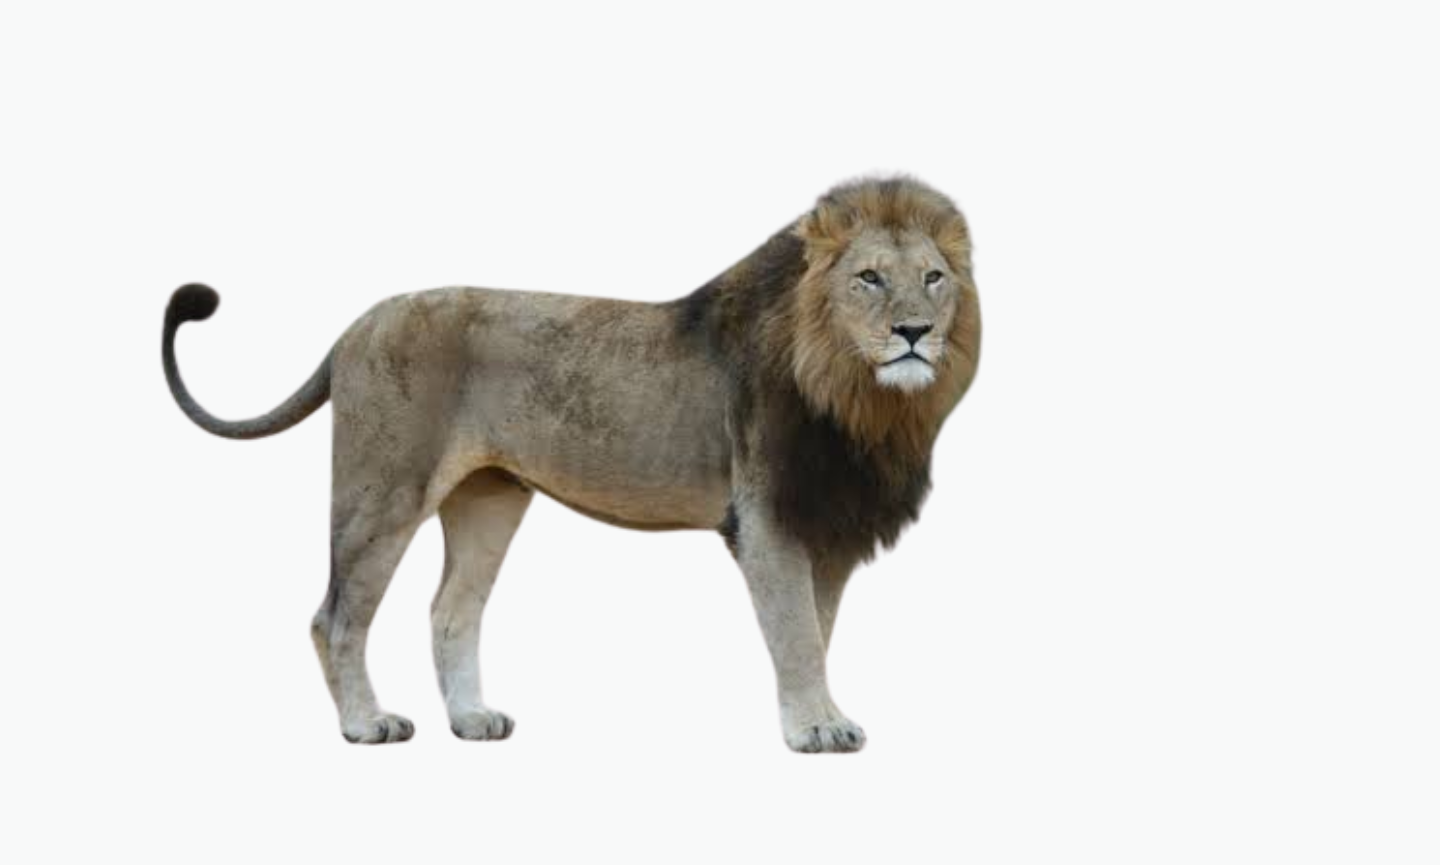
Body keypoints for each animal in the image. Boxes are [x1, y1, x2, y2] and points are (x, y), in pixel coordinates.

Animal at [162, 176, 981, 752]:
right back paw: (366, 725)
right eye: (869, 278)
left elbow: (815, 628)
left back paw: (472, 719)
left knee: (451, 609)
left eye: (933, 278)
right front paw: (816, 728)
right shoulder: (769, 518)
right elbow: (798, 633)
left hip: (489, 497)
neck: (864, 398)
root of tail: (351, 329)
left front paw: (812, 714)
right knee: (335, 614)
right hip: (383, 488)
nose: (914, 332)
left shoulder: (825, 525)